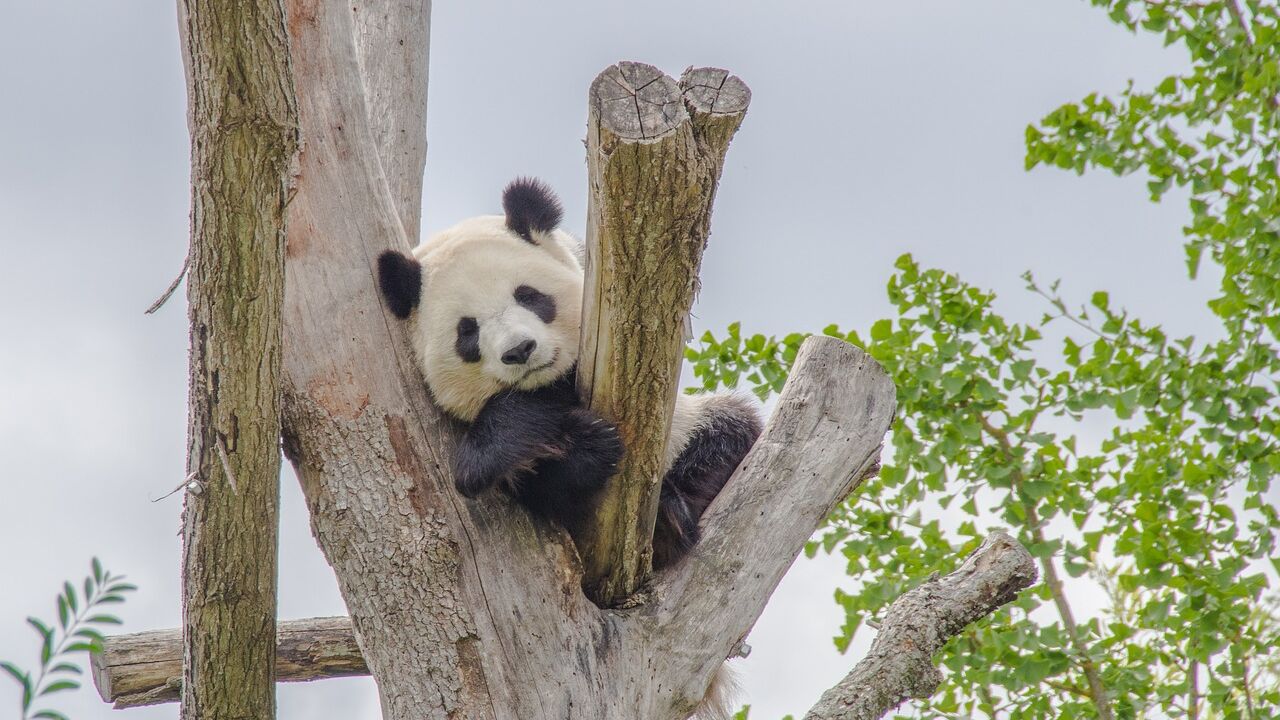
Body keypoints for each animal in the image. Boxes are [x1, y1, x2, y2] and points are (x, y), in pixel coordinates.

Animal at [376, 178, 757, 571]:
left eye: (528, 296)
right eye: (467, 331)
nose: (519, 350)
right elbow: (532, 482)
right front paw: (583, 444)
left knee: (726, 432)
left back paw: (668, 520)